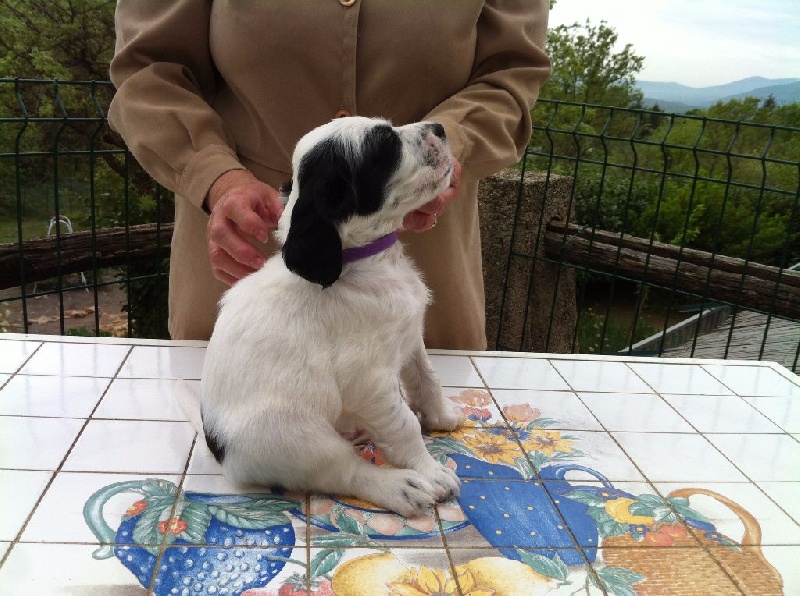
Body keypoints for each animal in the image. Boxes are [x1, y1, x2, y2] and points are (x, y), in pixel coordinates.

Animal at [178, 117, 464, 516]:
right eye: (385, 143)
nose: (439, 127)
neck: (363, 261)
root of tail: (218, 449)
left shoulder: (408, 338)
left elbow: (427, 377)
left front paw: (441, 416)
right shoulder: (368, 379)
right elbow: (404, 423)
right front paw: (429, 470)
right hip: (296, 436)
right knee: (345, 472)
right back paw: (400, 487)